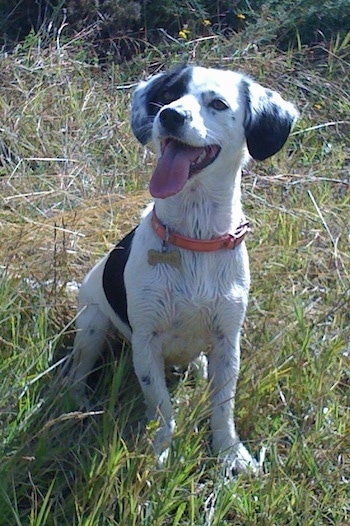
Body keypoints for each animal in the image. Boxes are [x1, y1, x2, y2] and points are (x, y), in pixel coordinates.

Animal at [69, 66, 298, 474]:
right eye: (167, 95)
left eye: (217, 103)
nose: (170, 115)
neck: (194, 239)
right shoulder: (146, 342)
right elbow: (161, 405)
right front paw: (160, 450)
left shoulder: (227, 341)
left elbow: (223, 405)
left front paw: (230, 453)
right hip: (92, 327)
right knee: (78, 373)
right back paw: (80, 403)